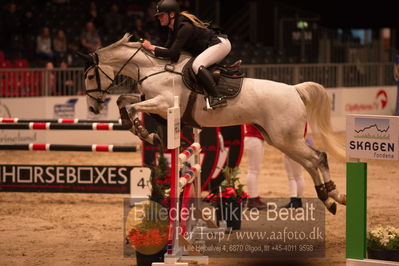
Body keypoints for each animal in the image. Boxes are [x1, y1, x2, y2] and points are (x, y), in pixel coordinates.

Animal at [80, 34, 346, 215]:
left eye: (91, 76)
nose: (92, 109)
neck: (153, 69)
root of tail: (294, 89)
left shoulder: (164, 103)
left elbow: (133, 107)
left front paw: (146, 133)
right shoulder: (150, 100)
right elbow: (124, 101)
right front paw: (137, 127)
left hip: (286, 138)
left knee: (318, 157)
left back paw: (334, 195)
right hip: (279, 139)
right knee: (310, 162)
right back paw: (329, 197)